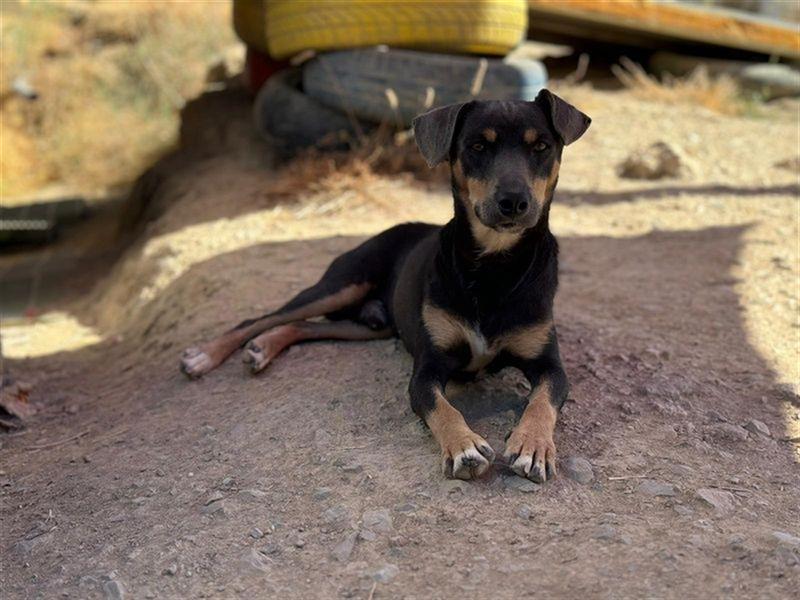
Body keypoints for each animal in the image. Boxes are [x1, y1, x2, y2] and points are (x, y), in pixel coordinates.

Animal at [183, 89, 592, 482]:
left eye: (541, 147)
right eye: (477, 146)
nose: (514, 202)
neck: (494, 267)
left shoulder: (550, 366)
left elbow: (542, 401)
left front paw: (532, 446)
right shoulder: (426, 369)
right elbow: (444, 409)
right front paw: (463, 447)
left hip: (372, 326)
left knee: (302, 326)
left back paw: (263, 348)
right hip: (343, 283)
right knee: (263, 319)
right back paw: (207, 354)